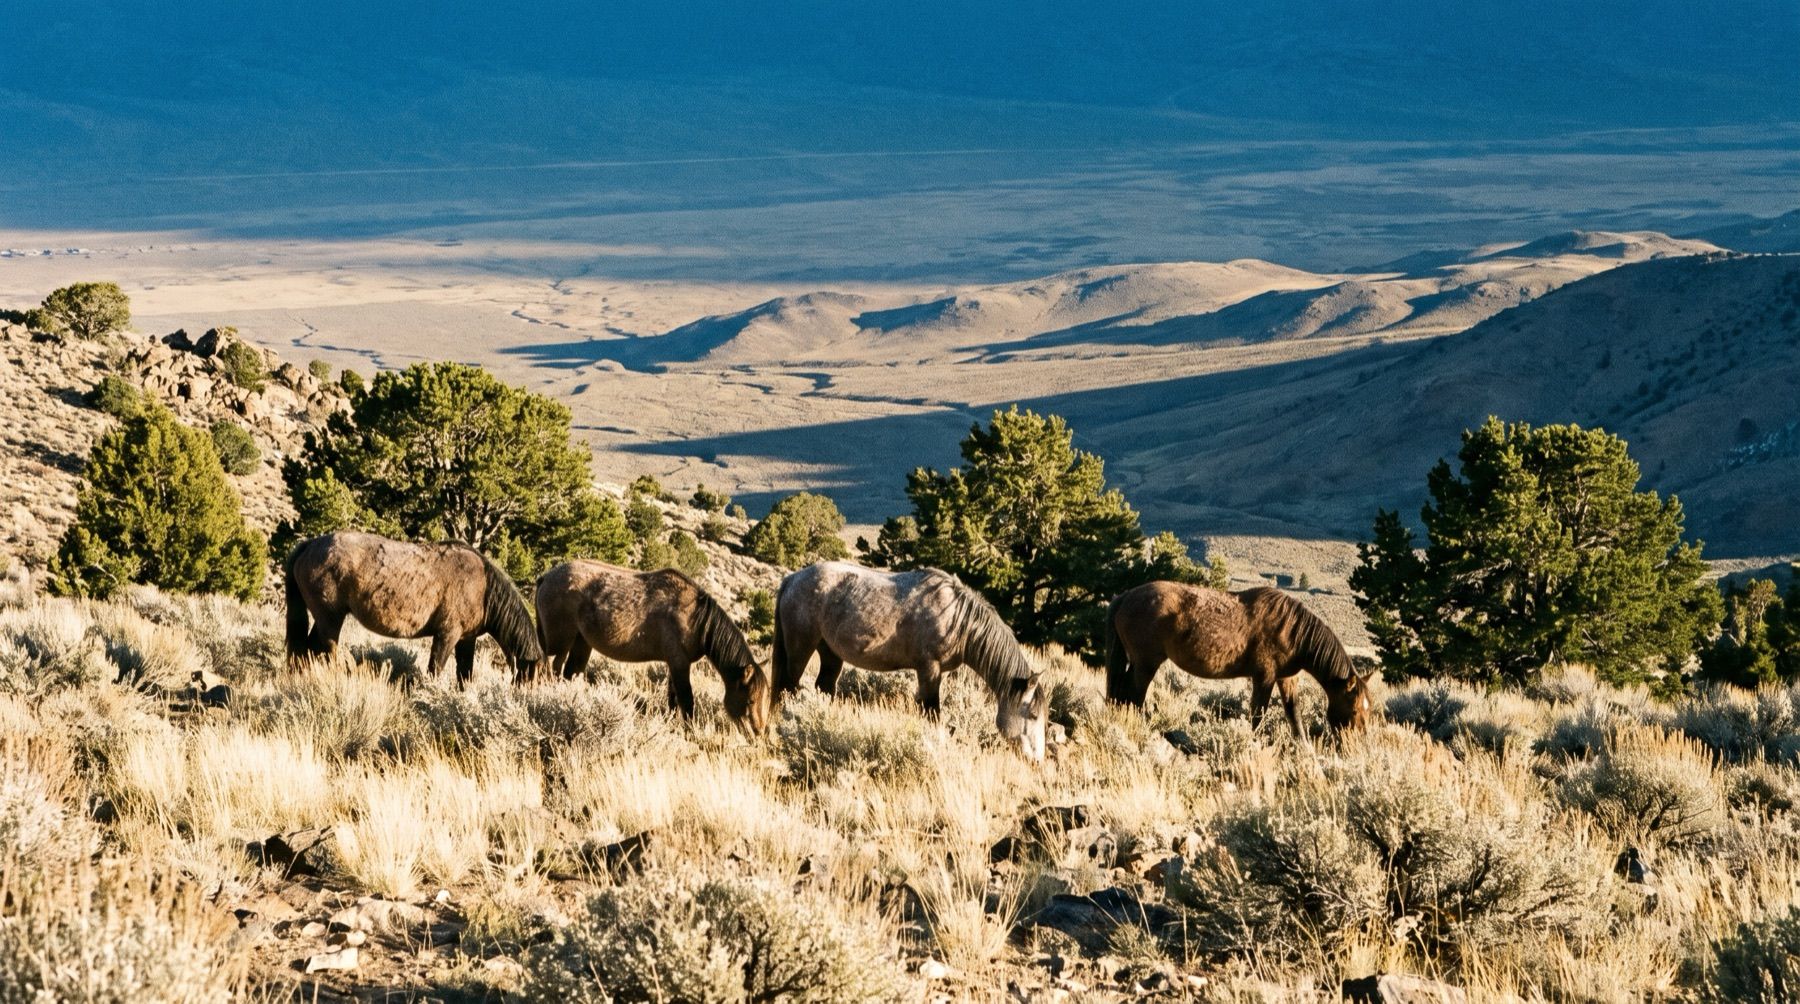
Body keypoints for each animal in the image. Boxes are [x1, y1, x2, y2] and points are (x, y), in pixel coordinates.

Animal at [284, 531, 541, 686]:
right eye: (531, 677)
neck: (483, 587)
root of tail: (310, 545)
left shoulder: (466, 639)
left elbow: (464, 674)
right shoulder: (447, 634)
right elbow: (435, 669)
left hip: (324, 618)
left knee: (306, 650)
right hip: (330, 619)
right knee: (324, 650)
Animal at [531, 559, 772, 736]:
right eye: (750, 700)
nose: (759, 733)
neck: (698, 620)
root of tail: (546, 578)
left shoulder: (674, 664)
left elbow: (673, 699)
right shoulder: (679, 663)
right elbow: (687, 700)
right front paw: (690, 732)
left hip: (581, 643)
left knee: (569, 673)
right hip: (559, 642)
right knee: (547, 668)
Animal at [771, 561, 1050, 762]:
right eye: (1034, 715)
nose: (1038, 761)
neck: (958, 620)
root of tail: (792, 579)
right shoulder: (929, 669)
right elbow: (931, 711)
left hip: (829, 653)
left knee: (823, 688)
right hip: (800, 649)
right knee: (788, 687)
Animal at [1105, 581, 1372, 733]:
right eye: (1355, 711)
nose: (1357, 742)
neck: (1293, 631)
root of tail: (1125, 596)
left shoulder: (1287, 679)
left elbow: (1294, 715)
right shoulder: (1264, 677)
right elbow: (1258, 715)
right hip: (1145, 664)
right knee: (1133, 696)